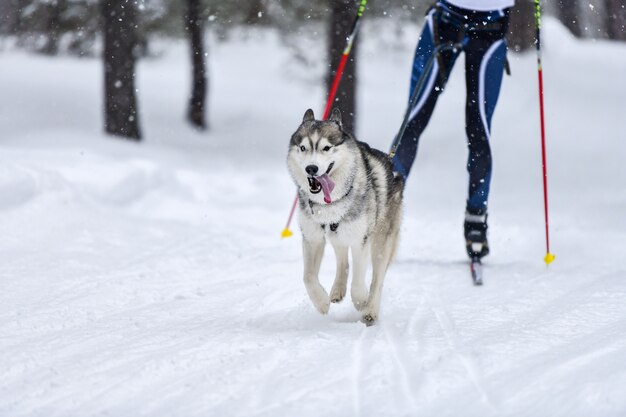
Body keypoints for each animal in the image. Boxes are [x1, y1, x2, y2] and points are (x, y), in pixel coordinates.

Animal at [286, 108, 402, 324]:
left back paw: (370, 310)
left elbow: (359, 280)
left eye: (326, 148)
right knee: (342, 260)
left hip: (380, 241)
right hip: (336, 235)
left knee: (377, 279)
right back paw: (337, 290)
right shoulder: (312, 238)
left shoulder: (361, 240)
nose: (311, 169)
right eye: (303, 147)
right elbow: (308, 277)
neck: (329, 203)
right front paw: (321, 302)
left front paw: (361, 300)